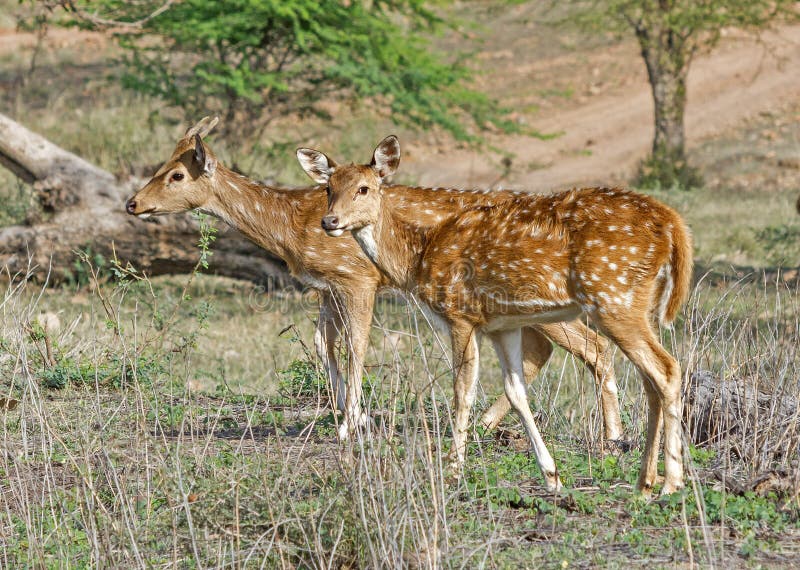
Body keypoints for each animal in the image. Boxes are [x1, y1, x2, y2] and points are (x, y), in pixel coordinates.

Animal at [126, 116, 624, 448]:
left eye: (176, 173)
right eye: (161, 166)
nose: (132, 203)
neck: (290, 229)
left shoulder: (357, 278)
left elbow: (357, 345)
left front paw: (351, 424)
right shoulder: (325, 287)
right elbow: (324, 345)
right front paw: (352, 416)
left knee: (594, 346)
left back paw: (612, 439)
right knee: (547, 350)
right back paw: (486, 424)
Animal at [302, 134, 692, 492]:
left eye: (364, 188)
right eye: (328, 188)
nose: (330, 221)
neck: (418, 259)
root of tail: (673, 224)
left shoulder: (459, 313)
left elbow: (463, 390)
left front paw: (454, 470)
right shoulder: (501, 326)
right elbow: (516, 392)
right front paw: (551, 476)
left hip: (613, 296)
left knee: (667, 369)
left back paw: (671, 481)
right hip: (636, 302)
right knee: (650, 379)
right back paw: (645, 481)